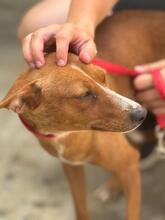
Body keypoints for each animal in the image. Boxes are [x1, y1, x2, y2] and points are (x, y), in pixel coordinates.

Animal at [0, 9, 164, 220]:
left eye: (103, 76)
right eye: (84, 95)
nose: (140, 113)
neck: (64, 134)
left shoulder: (128, 166)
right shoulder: (72, 167)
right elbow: (81, 208)